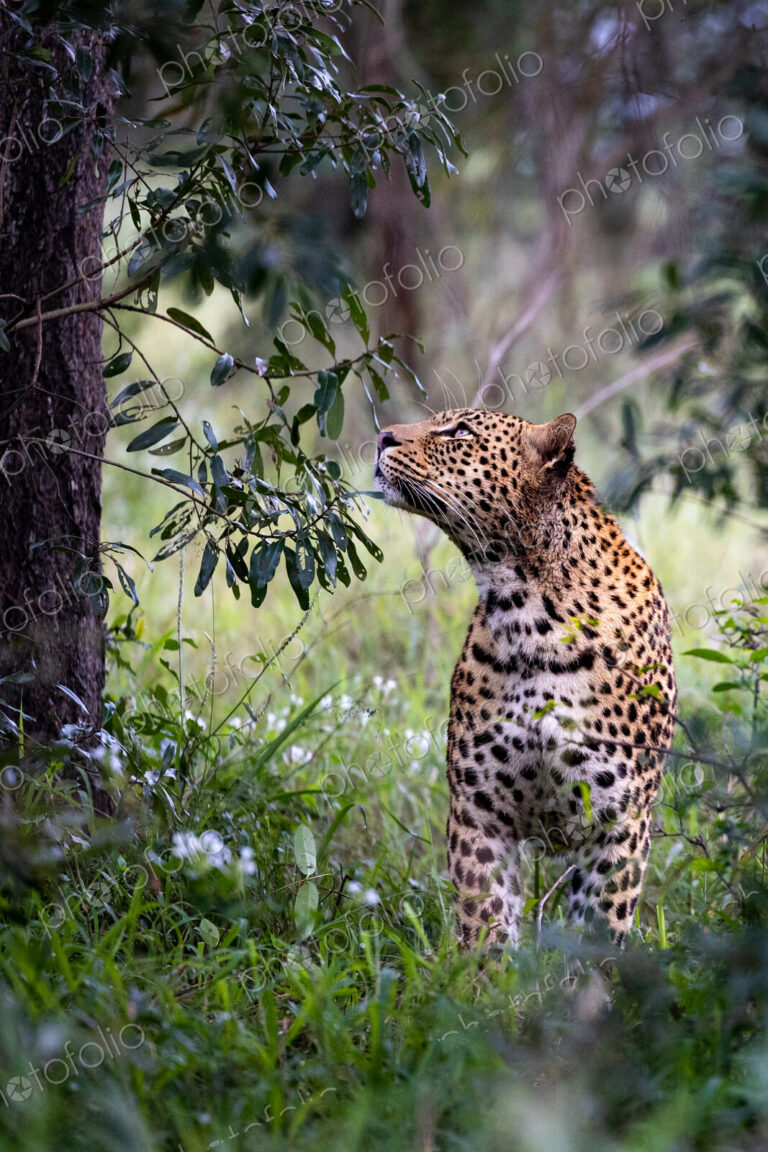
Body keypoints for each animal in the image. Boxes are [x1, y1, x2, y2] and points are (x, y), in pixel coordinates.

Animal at [374, 408, 676, 949]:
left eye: (460, 432)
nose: (382, 436)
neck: (527, 611)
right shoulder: (479, 813)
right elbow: (486, 923)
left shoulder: (618, 825)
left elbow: (600, 929)